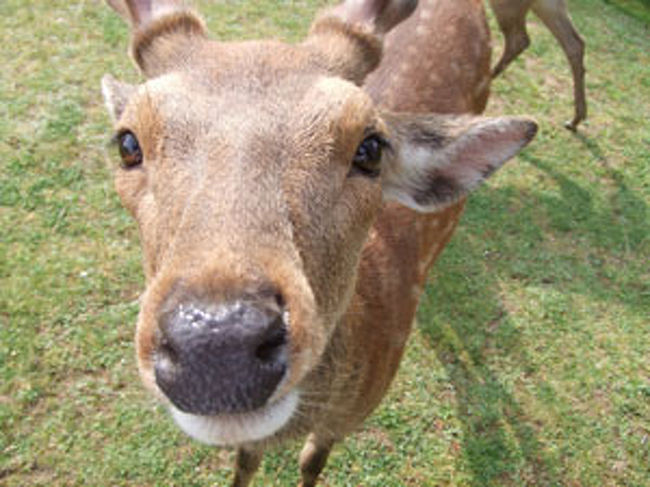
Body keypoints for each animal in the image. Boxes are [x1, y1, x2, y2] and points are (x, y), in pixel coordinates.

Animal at [101, 0, 536, 486]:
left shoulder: (348, 418)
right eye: (127, 143)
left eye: (370, 148)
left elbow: (312, 461)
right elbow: (245, 461)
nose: (217, 346)